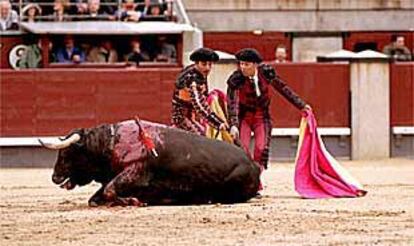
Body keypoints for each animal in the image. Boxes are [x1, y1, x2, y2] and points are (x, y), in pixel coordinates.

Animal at [38, 118, 258, 207]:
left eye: (67, 153)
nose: (54, 177)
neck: (110, 143)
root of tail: (253, 164)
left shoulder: (135, 172)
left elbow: (109, 190)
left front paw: (133, 201)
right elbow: (96, 197)